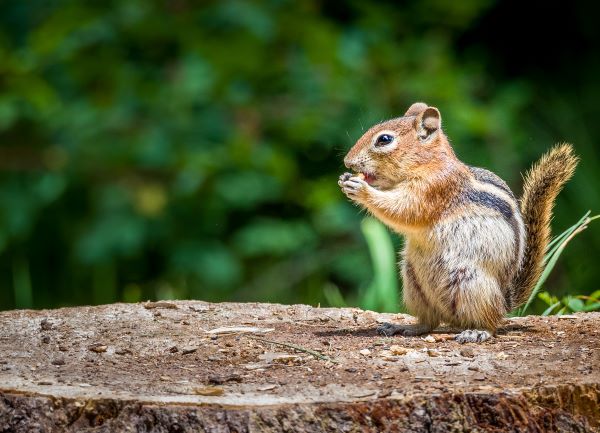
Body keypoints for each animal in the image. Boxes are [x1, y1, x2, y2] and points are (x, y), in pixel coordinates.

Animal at [338, 101, 576, 340]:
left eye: (384, 140)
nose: (347, 161)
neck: (428, 163)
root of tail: (504, 300)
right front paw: (345, 179)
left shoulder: (434, 188)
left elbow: (404, 209)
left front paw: (361, 189)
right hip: (413, 282)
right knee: (429, 322)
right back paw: (404, 327)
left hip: (471, 283)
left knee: (491, 322)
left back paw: (477, 332)